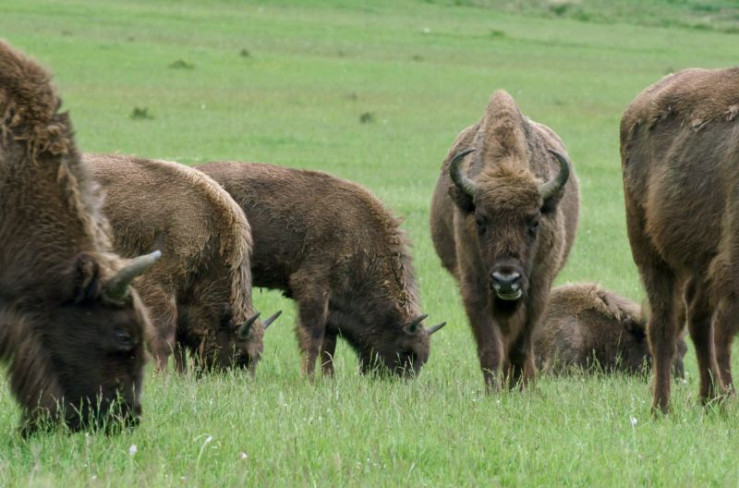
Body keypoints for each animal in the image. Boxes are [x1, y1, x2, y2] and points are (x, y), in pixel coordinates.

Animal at [83, 154, 280, 375]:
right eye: (241, 355)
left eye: (258, 356)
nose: (242, 381)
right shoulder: (158, 288)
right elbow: (164, 340)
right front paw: (163, 377)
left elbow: (179, 343)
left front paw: (181, 375)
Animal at [196, 161, 446, 378]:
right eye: (406, 351)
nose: (402, 381)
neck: (362, 236)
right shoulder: (311, 289)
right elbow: (313, 339)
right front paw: (308, 379)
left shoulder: (332, 305)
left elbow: (328, 345)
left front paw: (329, 379)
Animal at [430, 89, 580, 391]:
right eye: (480, 221)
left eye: (534, 222)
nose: (506, 280)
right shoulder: (474, 288)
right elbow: (490, 348)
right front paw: (493, 392)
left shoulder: (537, 289)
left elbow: (519, 346)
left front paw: (520, 388)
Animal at [620, 67, 739, 413]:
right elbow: (723, 337)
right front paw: (731, 401)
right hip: (650, 254)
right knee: (664, 325)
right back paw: (662, 406)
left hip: (699, 264)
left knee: (697, 317)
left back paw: (707, 398)